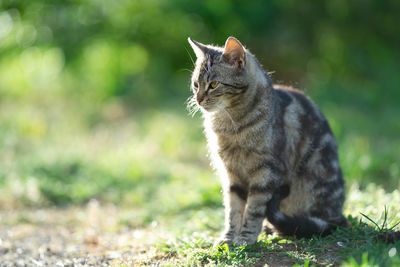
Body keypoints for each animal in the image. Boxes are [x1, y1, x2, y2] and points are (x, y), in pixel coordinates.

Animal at [188, 36, 346, 246]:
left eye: (214, 84)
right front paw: (228, 238)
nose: (198, 99)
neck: (231, 126)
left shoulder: (265, 173)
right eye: (196, 84)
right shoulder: (231, 175)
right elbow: (233, 211)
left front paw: (246, 238)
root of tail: (338, 215)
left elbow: (254, 210)